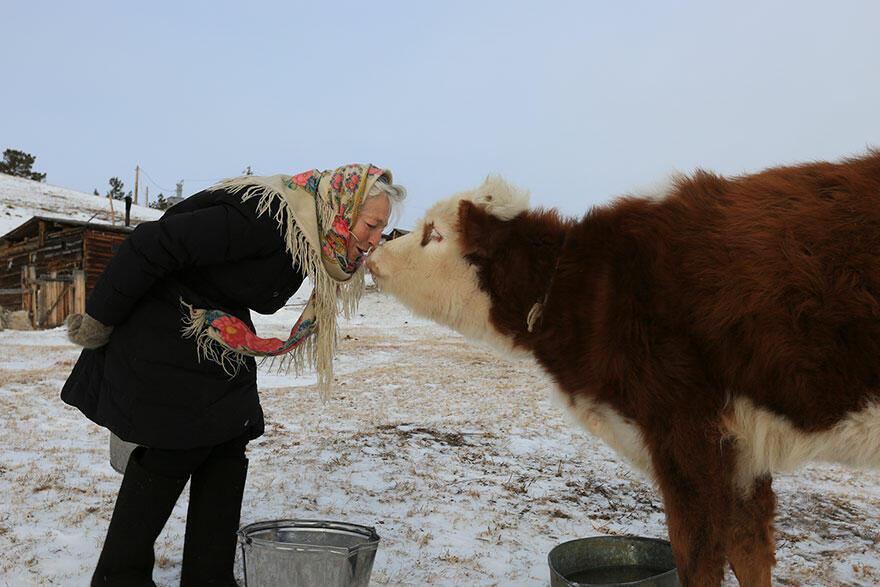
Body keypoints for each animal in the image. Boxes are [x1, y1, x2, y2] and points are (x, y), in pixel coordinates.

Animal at [366, 152, 880, 587]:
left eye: (433, 233)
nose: (376, 250)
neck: (588, 291)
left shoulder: (684, 432)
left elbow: (699, 557)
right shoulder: (742, 452)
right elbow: (750, 550)